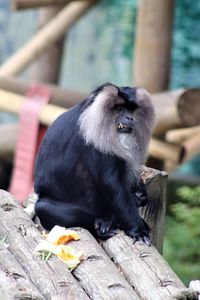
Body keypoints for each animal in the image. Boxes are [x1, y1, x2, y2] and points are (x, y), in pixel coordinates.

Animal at [34, 82, 155, 244]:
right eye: (118, 108)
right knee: (42, 207)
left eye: (131, 109)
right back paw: (106, 223)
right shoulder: (96, 140)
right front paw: (138, 230)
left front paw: (139, 194)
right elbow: (112, 184)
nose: (129, 118)